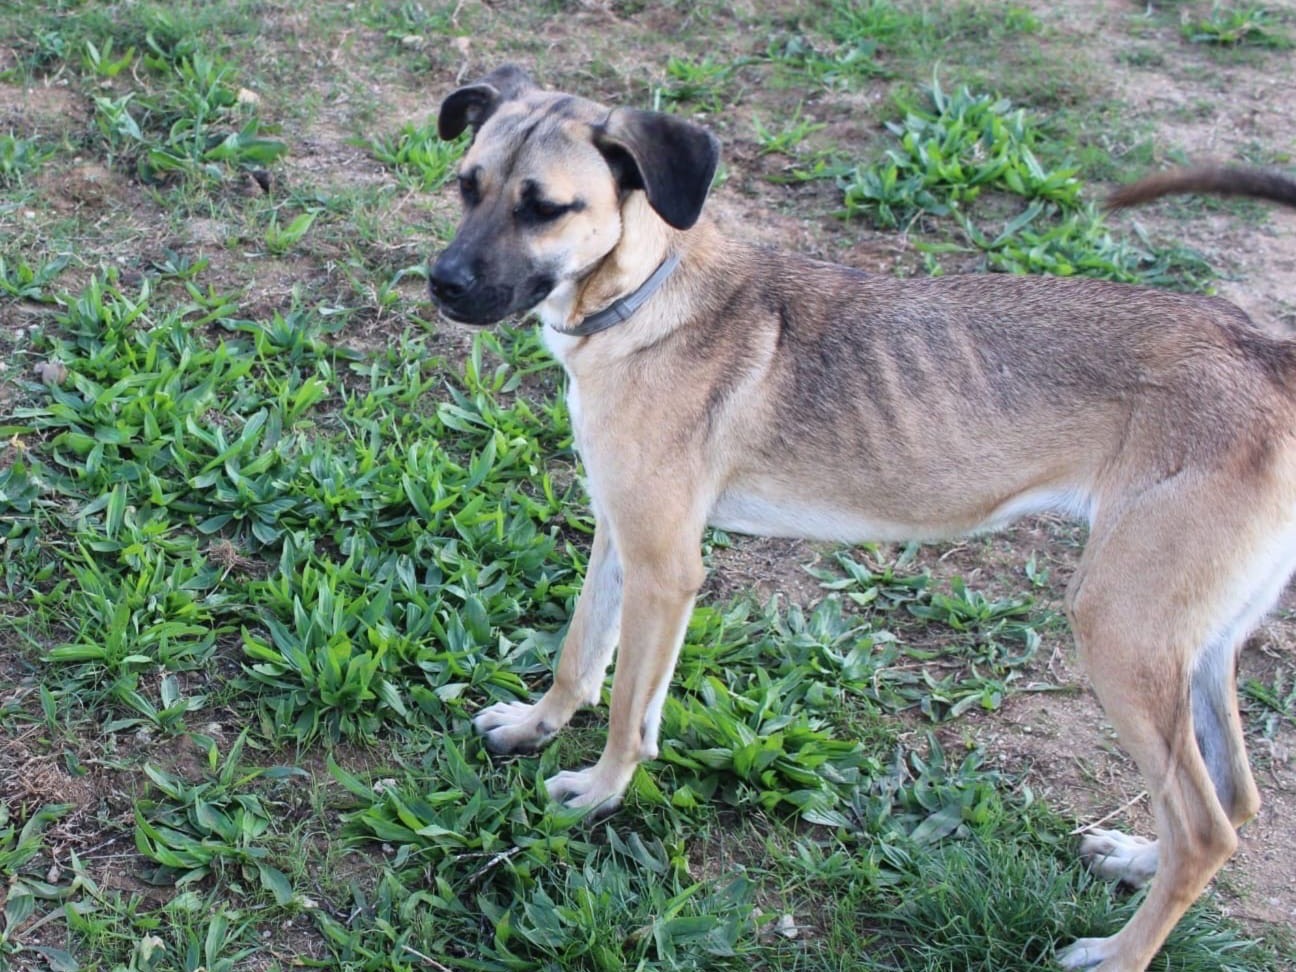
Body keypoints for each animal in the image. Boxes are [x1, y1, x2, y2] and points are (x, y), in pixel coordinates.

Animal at [430, 64, 1296, 969]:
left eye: (545, 208)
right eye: (468, 185)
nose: (441, 282)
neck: (641, 297)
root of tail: (1270, 354)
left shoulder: (667, 570)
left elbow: (631, 709)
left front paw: (599, 792)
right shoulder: (618, 533)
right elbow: (580, 655)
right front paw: (536, 726)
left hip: (1119, 629)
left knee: (1204, 828)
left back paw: (1118, 951)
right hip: (1196, 644)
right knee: (1234, 801)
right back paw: (1137, 860)